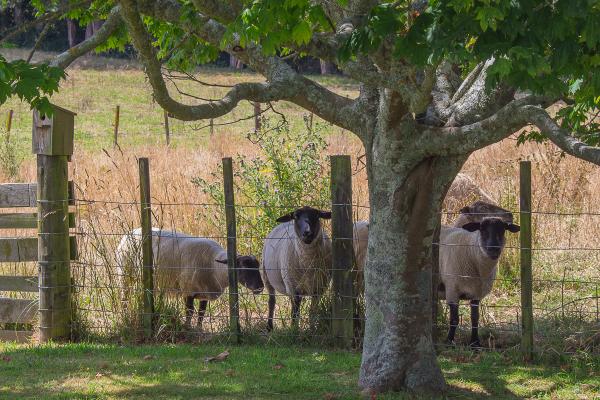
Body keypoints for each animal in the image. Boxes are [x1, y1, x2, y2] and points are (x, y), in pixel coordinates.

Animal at [116, 228, 264, 328]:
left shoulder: (205, 291)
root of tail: (130, 232)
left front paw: (199, 328)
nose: (260, 288)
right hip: (124, 274)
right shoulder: (188, 289)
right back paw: (124, 316)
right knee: (124, 299)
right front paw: (187, 328)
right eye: (243, 267)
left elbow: (201, 312)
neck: (215, 266)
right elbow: (189, 311)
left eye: (257, 267)